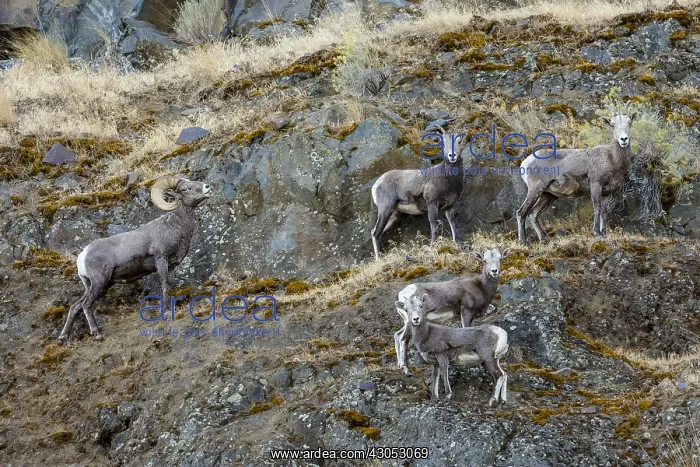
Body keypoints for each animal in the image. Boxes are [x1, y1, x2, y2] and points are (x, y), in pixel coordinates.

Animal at [58, 175, 213, 343]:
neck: (175, 227)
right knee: (86, 305)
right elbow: (164, 286)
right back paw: (97, 333)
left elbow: (169, 286)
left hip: (100, 286)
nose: (207, 187)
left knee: (75, 307)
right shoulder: (161, 260)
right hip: (99, 282)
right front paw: (165, 312)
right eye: (185, 189)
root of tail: (83, 255)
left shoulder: (171, 266)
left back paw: (63, 338)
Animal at [370, 126, 465, 260]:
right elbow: (433, 225)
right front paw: (433, 247)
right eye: (443, 143)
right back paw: (379, 259)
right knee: (375, 233)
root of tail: (376, 185)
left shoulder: (449, 207)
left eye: (459, 142)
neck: (448, 179)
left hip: (395, 216)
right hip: (385, 210)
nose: (452, 155)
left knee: (376, 232)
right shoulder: (432, 203)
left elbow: (453, 226)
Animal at [393, 248, 509, 376]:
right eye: (484, 260)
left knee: (397, 335)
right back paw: (407, 370)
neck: (481, 288)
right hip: (410, 322)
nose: (494, 271)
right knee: (403, 340)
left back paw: (400, 366)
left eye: (500, 259)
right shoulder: (466, 313)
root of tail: (402, 294)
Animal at [516, 113, 637, 243]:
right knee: (521, 212)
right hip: (535, 190)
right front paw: (597, 234)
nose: (623, 139)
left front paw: (604, 234)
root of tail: (525, 163)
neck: (613, 160)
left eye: (630, 123)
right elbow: (597, 208)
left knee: (533, 214)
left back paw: (544, 239)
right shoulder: (595, 184)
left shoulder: (607, 193)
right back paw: (523, 242)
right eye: (612, 125)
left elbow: (604, 213)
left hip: (548, 195)